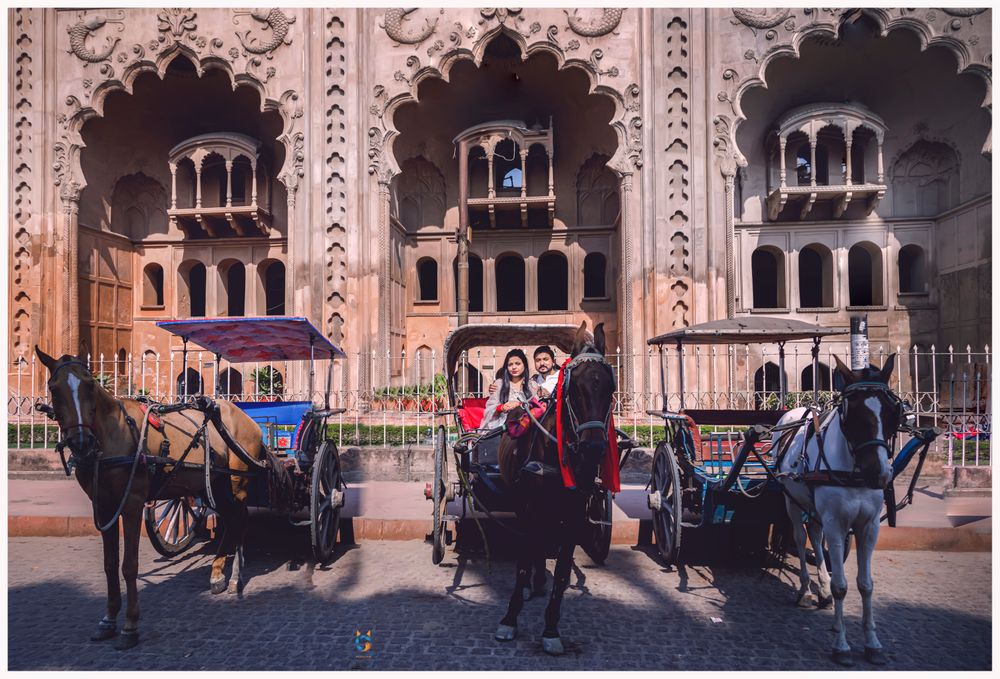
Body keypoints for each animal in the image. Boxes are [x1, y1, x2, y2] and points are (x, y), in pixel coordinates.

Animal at [35, 348, 286, 652]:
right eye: (54, 389)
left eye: (90, 385)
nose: (81, 442)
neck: (111, 435)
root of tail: (248, 419)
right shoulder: (103, 506)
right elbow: (109, 564)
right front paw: (108, 619)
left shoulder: (132, 502)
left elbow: (129, 565)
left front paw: (130, 626)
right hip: (215, 481)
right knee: (231, 518)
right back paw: (217, 573)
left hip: (237, 479)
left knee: (240, 517)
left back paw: (235, 573)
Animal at [494, 322, 616, 656]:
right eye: (575, 390)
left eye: (610, 390)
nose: (594, 447)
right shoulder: (527, 505)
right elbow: (522, 560)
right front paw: (509, 619)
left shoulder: (574, 512)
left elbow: (562, 571)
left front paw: (551, 628)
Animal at [768, 358, 904, 668]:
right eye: (851, 413)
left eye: (892, 411)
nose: (879, 474)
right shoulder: (835, 522)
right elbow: (843, 585)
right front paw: (841, 646)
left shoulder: (868, 526)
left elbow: (866, 585)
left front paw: (872, 643)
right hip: (791, 501)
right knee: (799, 536)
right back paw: (807, 591)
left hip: (812, 503)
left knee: (816, 536)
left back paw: (823, 590)